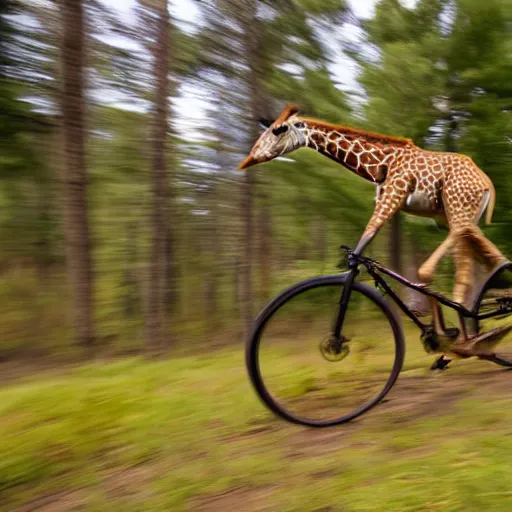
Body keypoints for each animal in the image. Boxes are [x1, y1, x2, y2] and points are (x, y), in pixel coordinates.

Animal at [240, 103, 508, 342]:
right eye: (269, 128)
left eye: (278, 130)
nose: (248, 160)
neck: (378, 164)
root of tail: (487, 183)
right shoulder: (389, 200)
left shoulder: (393, 197)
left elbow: (368, 234)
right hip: (459, 214)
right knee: (481, 256)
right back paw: (471, 324)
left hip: (457, 209)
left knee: (463, 252)